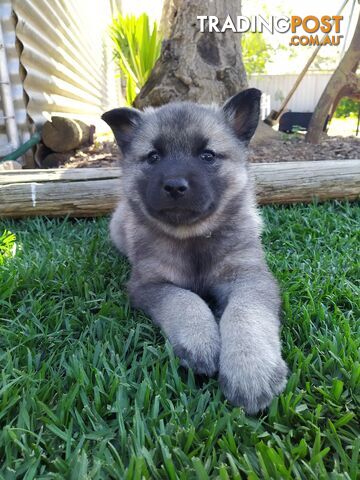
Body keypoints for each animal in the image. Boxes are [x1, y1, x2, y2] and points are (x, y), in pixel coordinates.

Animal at [101, 89, 286, 412]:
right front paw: (201, 341)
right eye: (153, 157)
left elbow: (244, 313)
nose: (175, 186)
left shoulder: (250, 277)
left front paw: (250, 369)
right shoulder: (149, 285)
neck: (193, 238)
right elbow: (185, 300)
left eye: (207, 155)